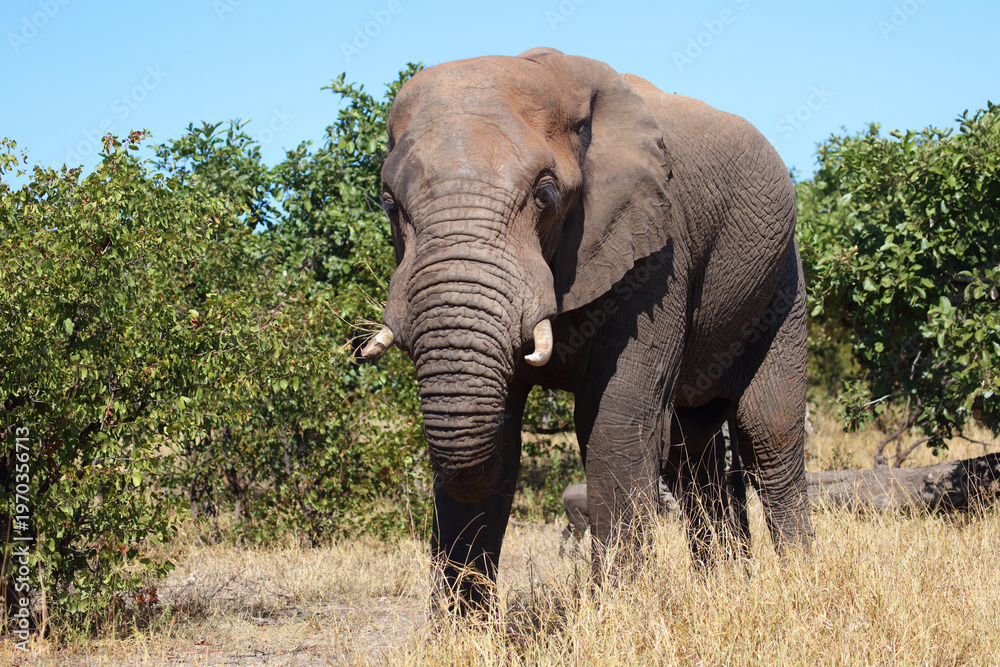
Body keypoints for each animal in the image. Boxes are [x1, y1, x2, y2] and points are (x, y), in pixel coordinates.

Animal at [363, 47, 813, 611]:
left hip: (782, 279)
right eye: (388, 202)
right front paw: (460, 629)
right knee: (691, 451)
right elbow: (499, 438)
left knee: (765, 428)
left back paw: (797, 581)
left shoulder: (657, 250)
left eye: (546, 194)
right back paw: (724, 588)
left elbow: (616, 422)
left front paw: (621, 613)